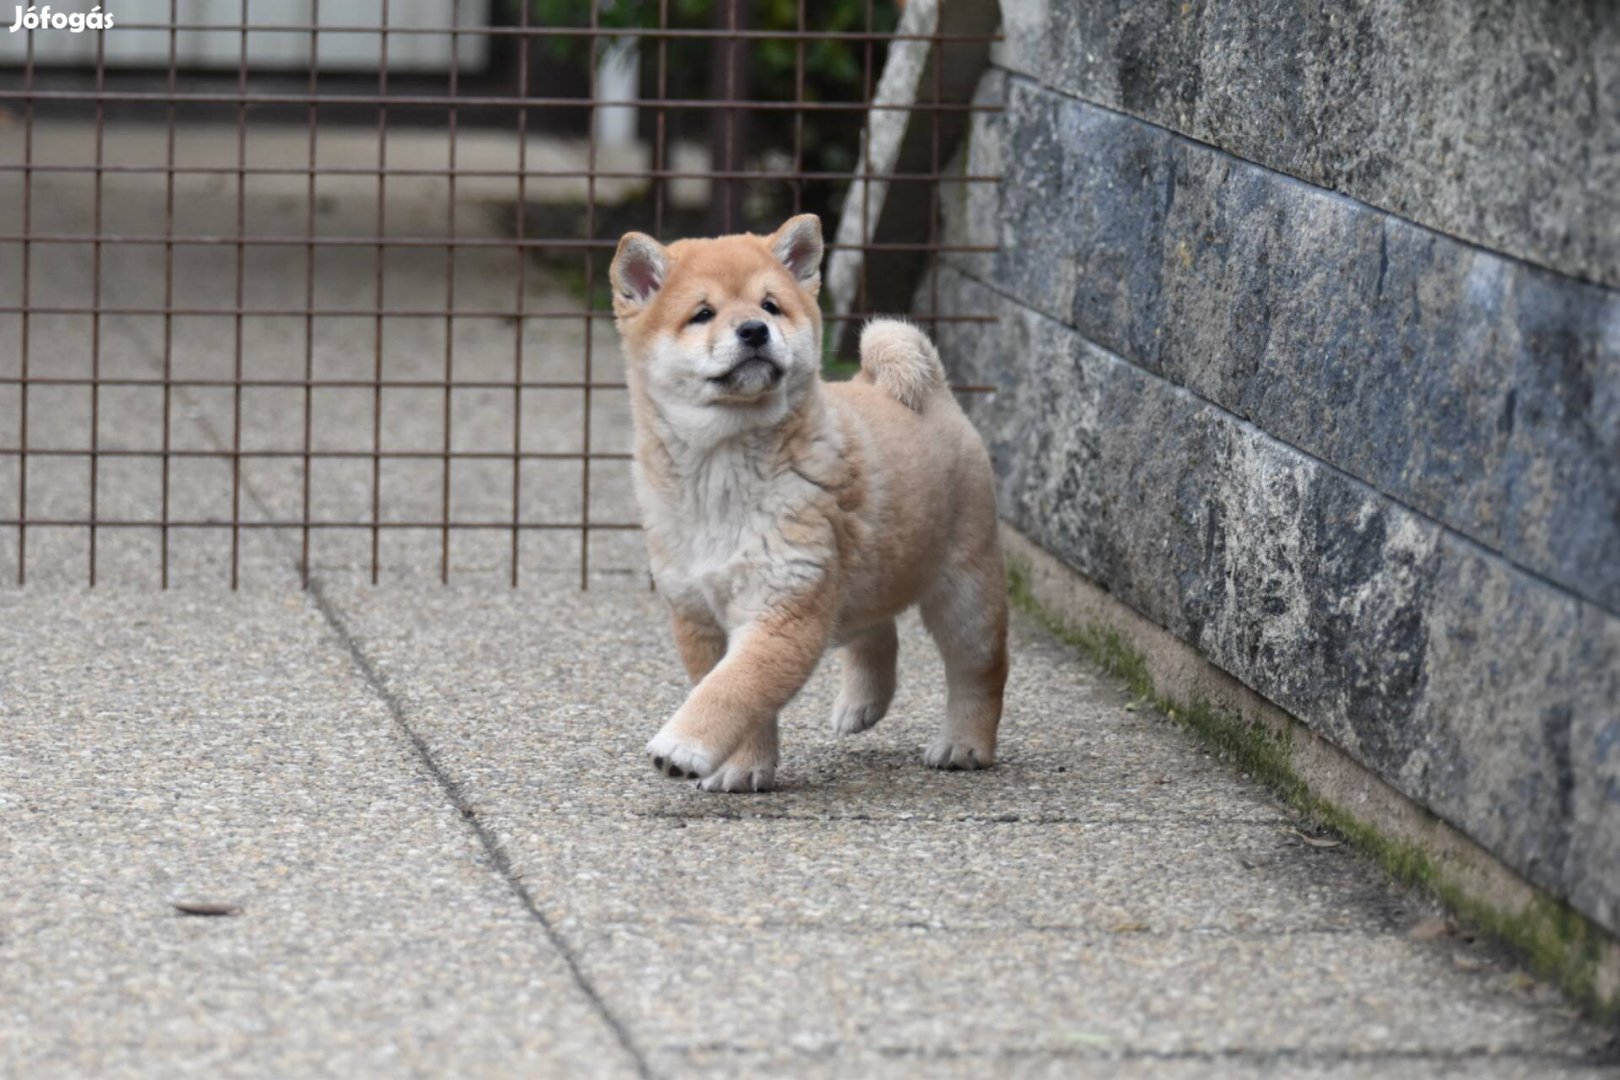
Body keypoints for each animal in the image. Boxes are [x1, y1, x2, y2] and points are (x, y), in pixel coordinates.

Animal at [609, 213, 1004, 793]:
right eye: (702, 314)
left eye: (770, 305)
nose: (754, 330)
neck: (723, 468)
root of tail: (935, 392)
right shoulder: (699, 614)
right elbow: (738, 694)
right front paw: (745, 767)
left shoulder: (784, 607)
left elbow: (732, 689)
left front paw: (683, 747)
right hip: (861, 576)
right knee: (877, 631)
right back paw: (863, 706)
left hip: (966, 590)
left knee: (980, 670)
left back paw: (965, 744)